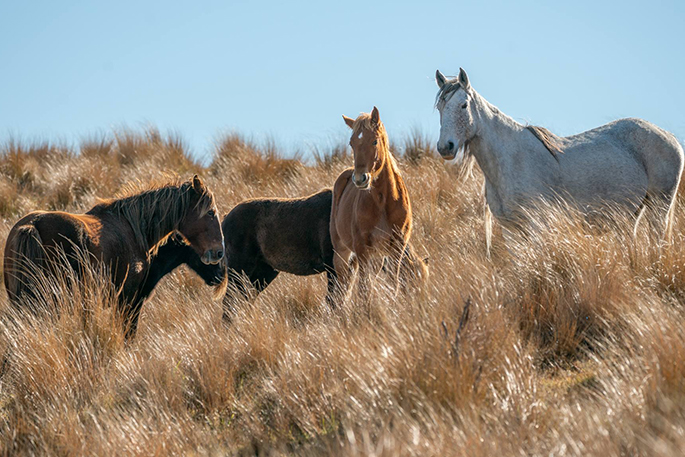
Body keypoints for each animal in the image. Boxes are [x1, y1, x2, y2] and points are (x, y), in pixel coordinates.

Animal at [218, 187, 336, 318]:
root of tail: (225, 218)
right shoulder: (332, 265)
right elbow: (334, 298)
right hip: (240, 269)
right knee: (230, 301)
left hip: (263, 271)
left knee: (246, 297)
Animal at [436, 69, 680, 251]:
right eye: (440, 107)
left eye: (463, 105)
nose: (445, 147)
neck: (510, 160)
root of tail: (671, 138)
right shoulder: (510, 229)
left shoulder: (535, 224)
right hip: (632, 213)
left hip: (659, 208)